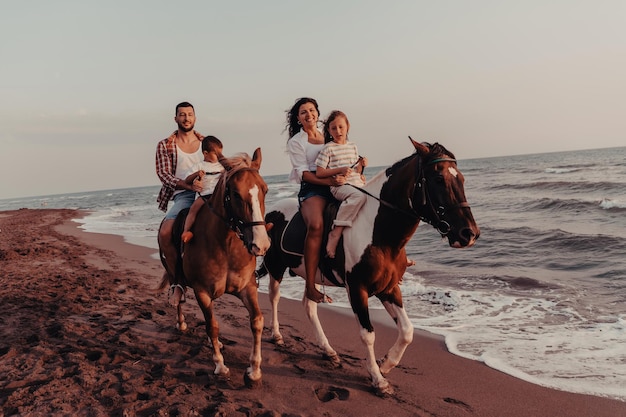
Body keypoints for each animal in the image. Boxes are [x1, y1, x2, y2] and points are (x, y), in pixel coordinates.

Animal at [156, 149, 268, 386]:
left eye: (265, 189)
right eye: (235, 194)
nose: (261, 244)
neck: (226, 245)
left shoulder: (247, 288)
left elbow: (256, 321)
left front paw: (254, 370)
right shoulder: (202, 292)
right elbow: (212, 325)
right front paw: (220, 365)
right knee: (178, 294)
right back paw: (181, 322)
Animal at [256, 139, 480, 394]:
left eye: (461, 178)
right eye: (438, 179)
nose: (469, 233)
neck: (378, 233)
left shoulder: (389, 288)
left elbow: (407, 331)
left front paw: (386, 363)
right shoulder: (357, 289)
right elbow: (368, 334)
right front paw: (378, 379)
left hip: (310, 274)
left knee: (309, 305)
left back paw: (328, 350)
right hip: (275, 267)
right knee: (274, 297)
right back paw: (277, 335)